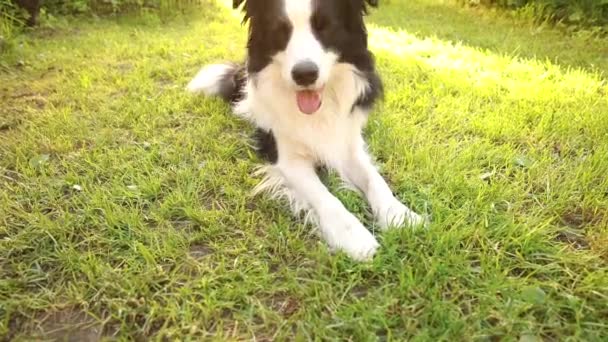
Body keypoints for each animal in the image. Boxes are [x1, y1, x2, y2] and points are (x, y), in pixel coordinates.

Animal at [188, 0, 426, 260]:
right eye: (281, 30)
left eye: (325, 27)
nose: (304, 74)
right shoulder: (288, 160)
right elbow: (324, 195)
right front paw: (354, 236)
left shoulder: (347, 142)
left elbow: (375, 180)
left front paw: (400, 215)